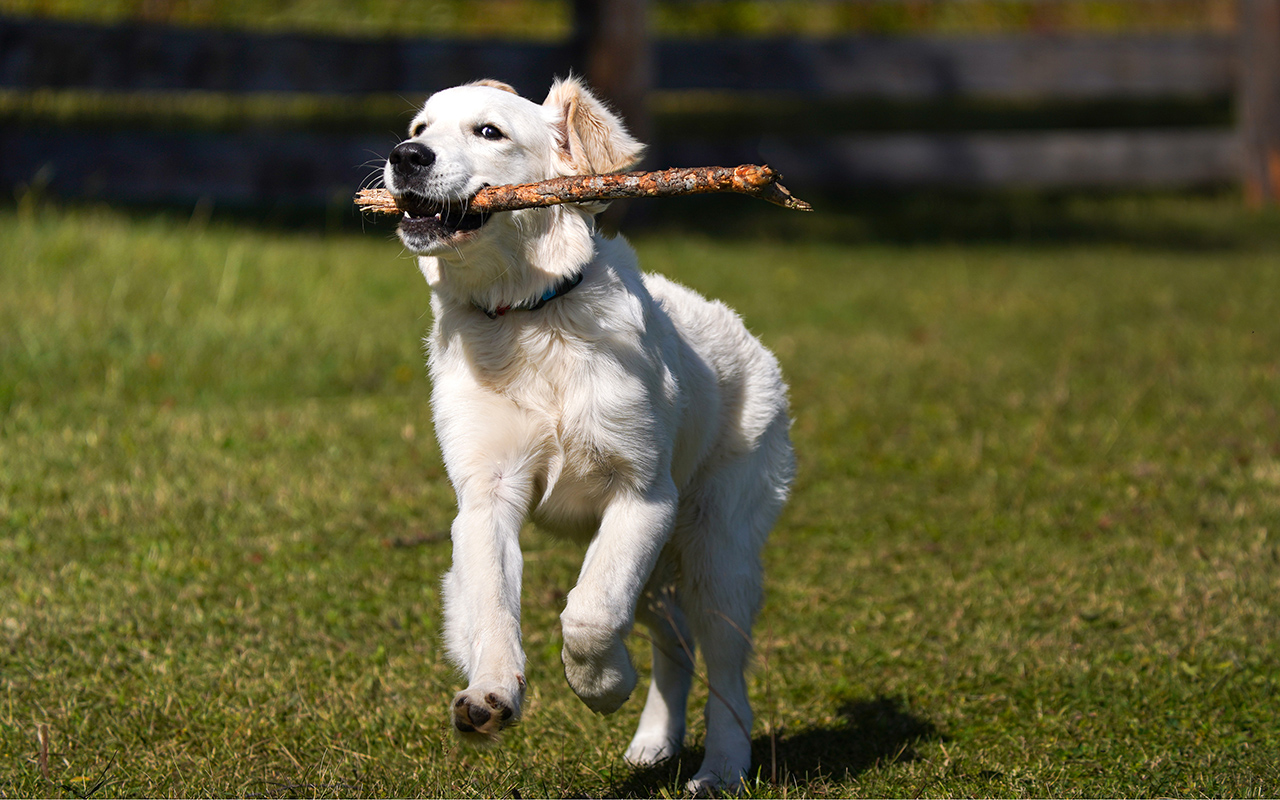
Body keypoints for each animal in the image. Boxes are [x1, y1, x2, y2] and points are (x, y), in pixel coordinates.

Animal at [378, 76, 793, 793]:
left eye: (488, 131)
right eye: (420, 128)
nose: (406, 157)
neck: (529, 317)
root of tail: (744, 333)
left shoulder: (644, 496)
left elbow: (590, 612)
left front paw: (602, 684)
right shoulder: (485, 496)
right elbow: (491, 602)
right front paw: (491, 694)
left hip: (717, 546)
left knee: (723, 665)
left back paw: (720, 768)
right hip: (663, 567)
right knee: (675, 640)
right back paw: (654, 743)